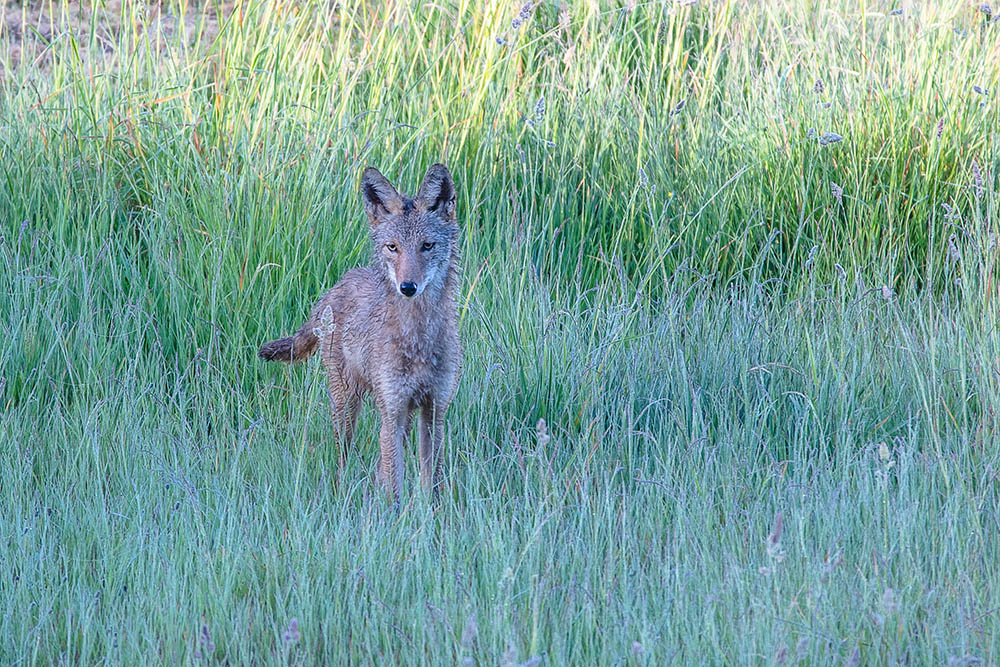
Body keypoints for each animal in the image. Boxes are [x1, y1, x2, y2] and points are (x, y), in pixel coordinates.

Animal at [258, 164, 462, 504]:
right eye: (393, 248)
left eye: (427, 246)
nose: (408, 287)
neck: (418, 340)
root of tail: (336, 287)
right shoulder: (392, 411)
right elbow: (394, 488)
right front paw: (393, 516)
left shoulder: (434, 412)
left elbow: (430, 483)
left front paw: (432, 514)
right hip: (346, 406)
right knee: (344, 459)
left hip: (402, 415)